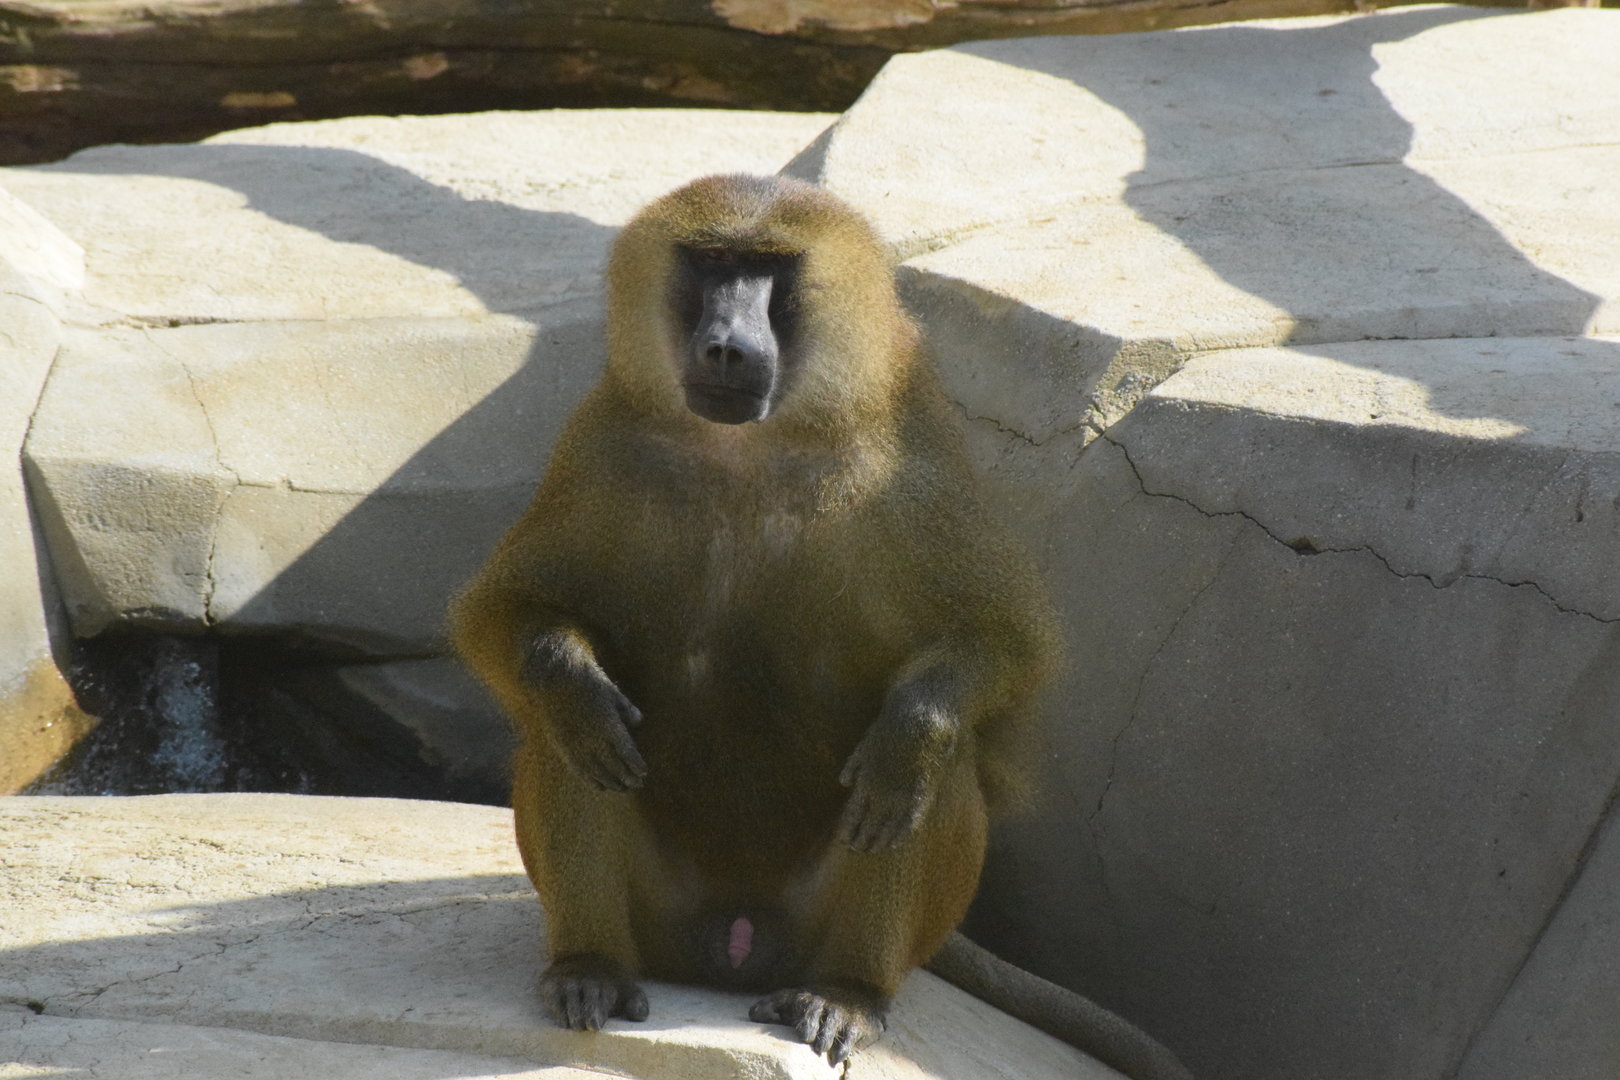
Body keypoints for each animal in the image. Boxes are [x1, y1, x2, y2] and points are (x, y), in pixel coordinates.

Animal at [451, 174, 1191, 1080]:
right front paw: (573, 686)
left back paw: (848, 992)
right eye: (711, 262)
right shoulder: (603, 444)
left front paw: (913, 733)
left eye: (770, 271)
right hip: (659, 922)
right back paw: (589, 965)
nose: (724, 348)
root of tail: (731, 951)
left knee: (929, 775)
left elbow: (997, 644)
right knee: (567, 742)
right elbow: (510, 615)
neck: (752, 447)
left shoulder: (908, 467)